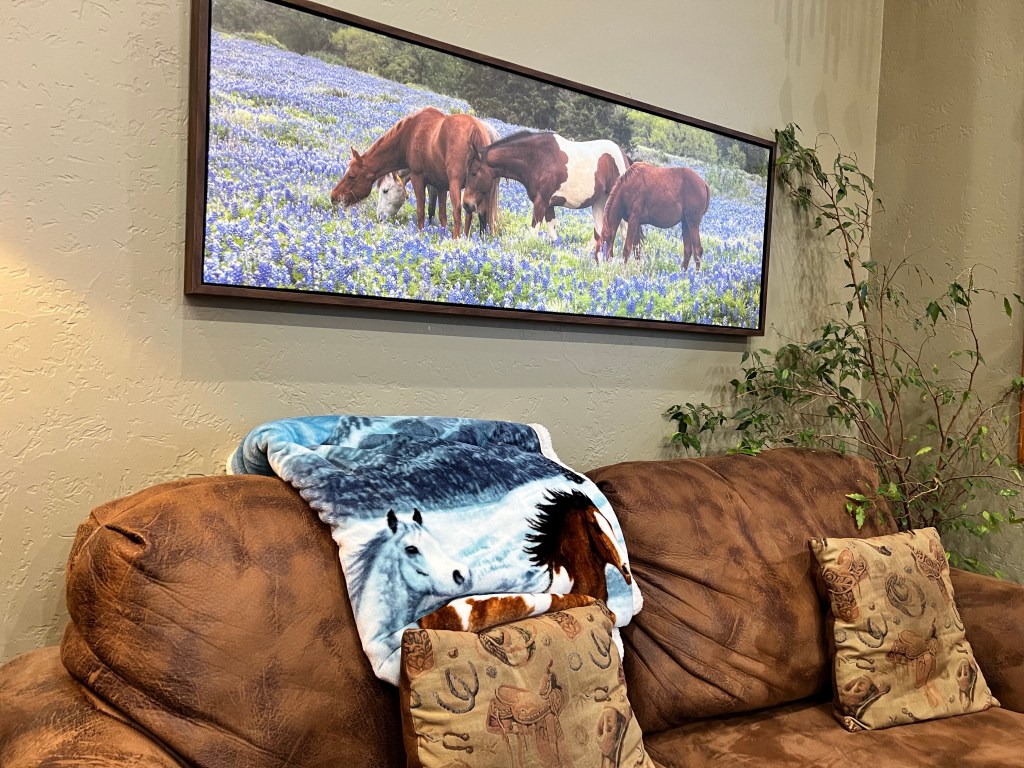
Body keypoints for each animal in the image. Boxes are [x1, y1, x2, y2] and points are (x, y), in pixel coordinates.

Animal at [330, 106, 499, 237]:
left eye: (351, 176)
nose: (334, 197)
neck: (410, 135)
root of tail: (475, 128)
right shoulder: (441, 185)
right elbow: (442, 215)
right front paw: (442, 235)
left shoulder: (418, 177)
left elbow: (421, 211)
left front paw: (421, 235)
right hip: (479, 188)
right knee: (474, 214)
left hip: (457, 183)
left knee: (459, 211)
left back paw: (456, 240)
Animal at [461, 131, 630, 255]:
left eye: (474, 173)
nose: (466, 204)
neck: (538, 159)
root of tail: (624, 156)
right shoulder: (549, 206)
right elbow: (553, 236)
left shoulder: (541, 202)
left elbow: (532, 234)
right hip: (599, 203)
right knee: (600, 232)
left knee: (623, 232)